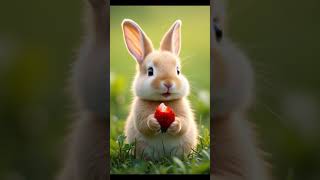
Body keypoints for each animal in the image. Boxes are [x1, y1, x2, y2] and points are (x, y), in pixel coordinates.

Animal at [122, 19, 199, 160]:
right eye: (150, 71)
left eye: (178, 71)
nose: (168, 83)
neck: (163, 101)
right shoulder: (138, 113)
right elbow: (143, 124)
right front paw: (153, 122)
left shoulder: (185, 112)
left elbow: (184, 123)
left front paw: (175, 124)